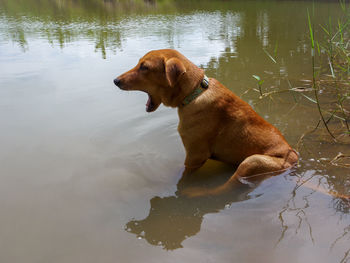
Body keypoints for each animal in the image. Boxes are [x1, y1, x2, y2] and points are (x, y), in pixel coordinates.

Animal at [115, 49, 298, 198]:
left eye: (144, 67)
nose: (115, 80)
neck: (194, 93)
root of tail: (295, 159)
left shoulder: (195, 156)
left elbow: (184, 177)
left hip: (251, 162)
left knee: (223, 189)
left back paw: (196, 193)